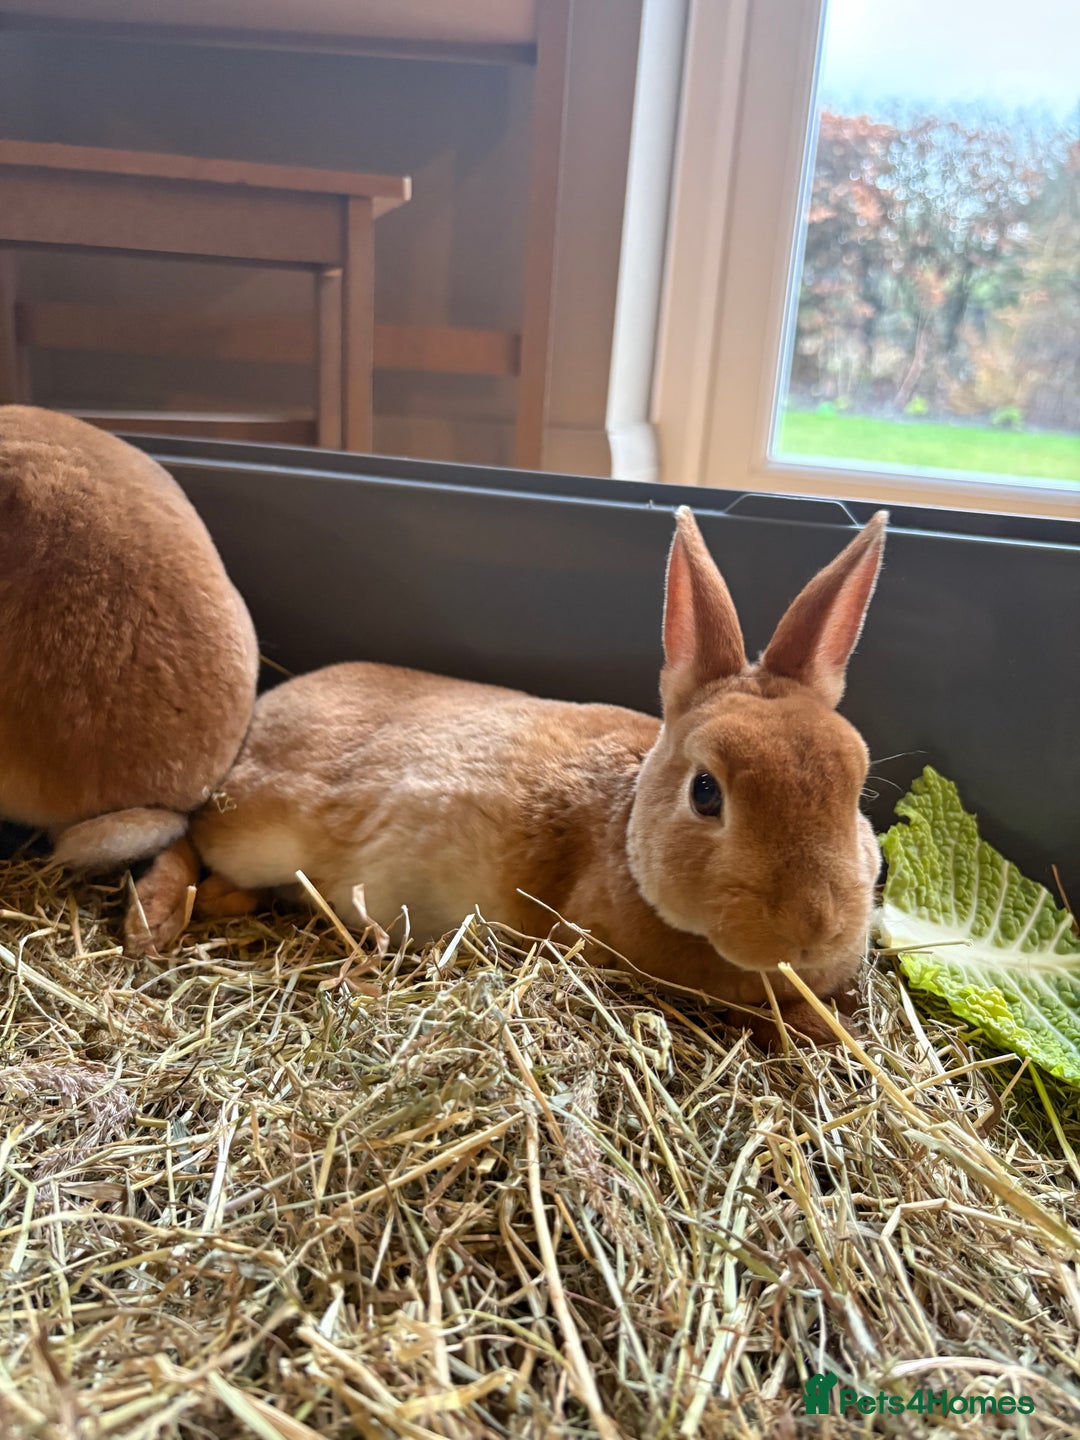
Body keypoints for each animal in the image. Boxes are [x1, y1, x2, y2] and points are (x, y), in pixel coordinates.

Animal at [130, 507, 886, 1042]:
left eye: (855, 786)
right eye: (706, 793)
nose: (812, 929)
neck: (625, 833)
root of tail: (263, 711)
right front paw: (818, 1024)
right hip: (258, 827)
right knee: (189, 834)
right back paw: (154, 921)